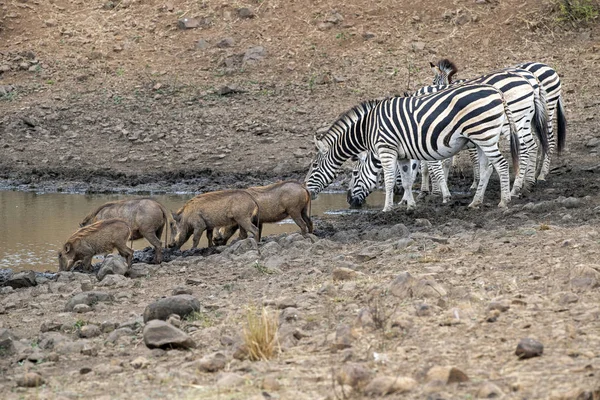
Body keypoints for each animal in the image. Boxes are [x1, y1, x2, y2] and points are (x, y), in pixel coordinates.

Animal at [304, 82, 520, 211]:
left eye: (314, 166)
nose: (349, 201)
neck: (367, 129)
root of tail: (497, 92)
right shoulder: (403, 155)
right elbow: (407, 180)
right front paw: (410, 205)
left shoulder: (386, 150)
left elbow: (389, 181)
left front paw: (387, 208)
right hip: (483, 137)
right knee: (486, 168)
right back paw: (476, 202)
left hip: (484, 135)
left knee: (501, 165)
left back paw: (504, 201)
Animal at [344, 68, 552, 206]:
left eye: (354, 173)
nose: (348, 200)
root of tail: (529, 78)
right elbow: (437, 164)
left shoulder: (423, 137)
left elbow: (427, 166)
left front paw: (431, 193)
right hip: (521, 121)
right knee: (533, 146)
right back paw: (528, 183)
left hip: (515, 121)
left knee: (525, 149)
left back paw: (517, 188)